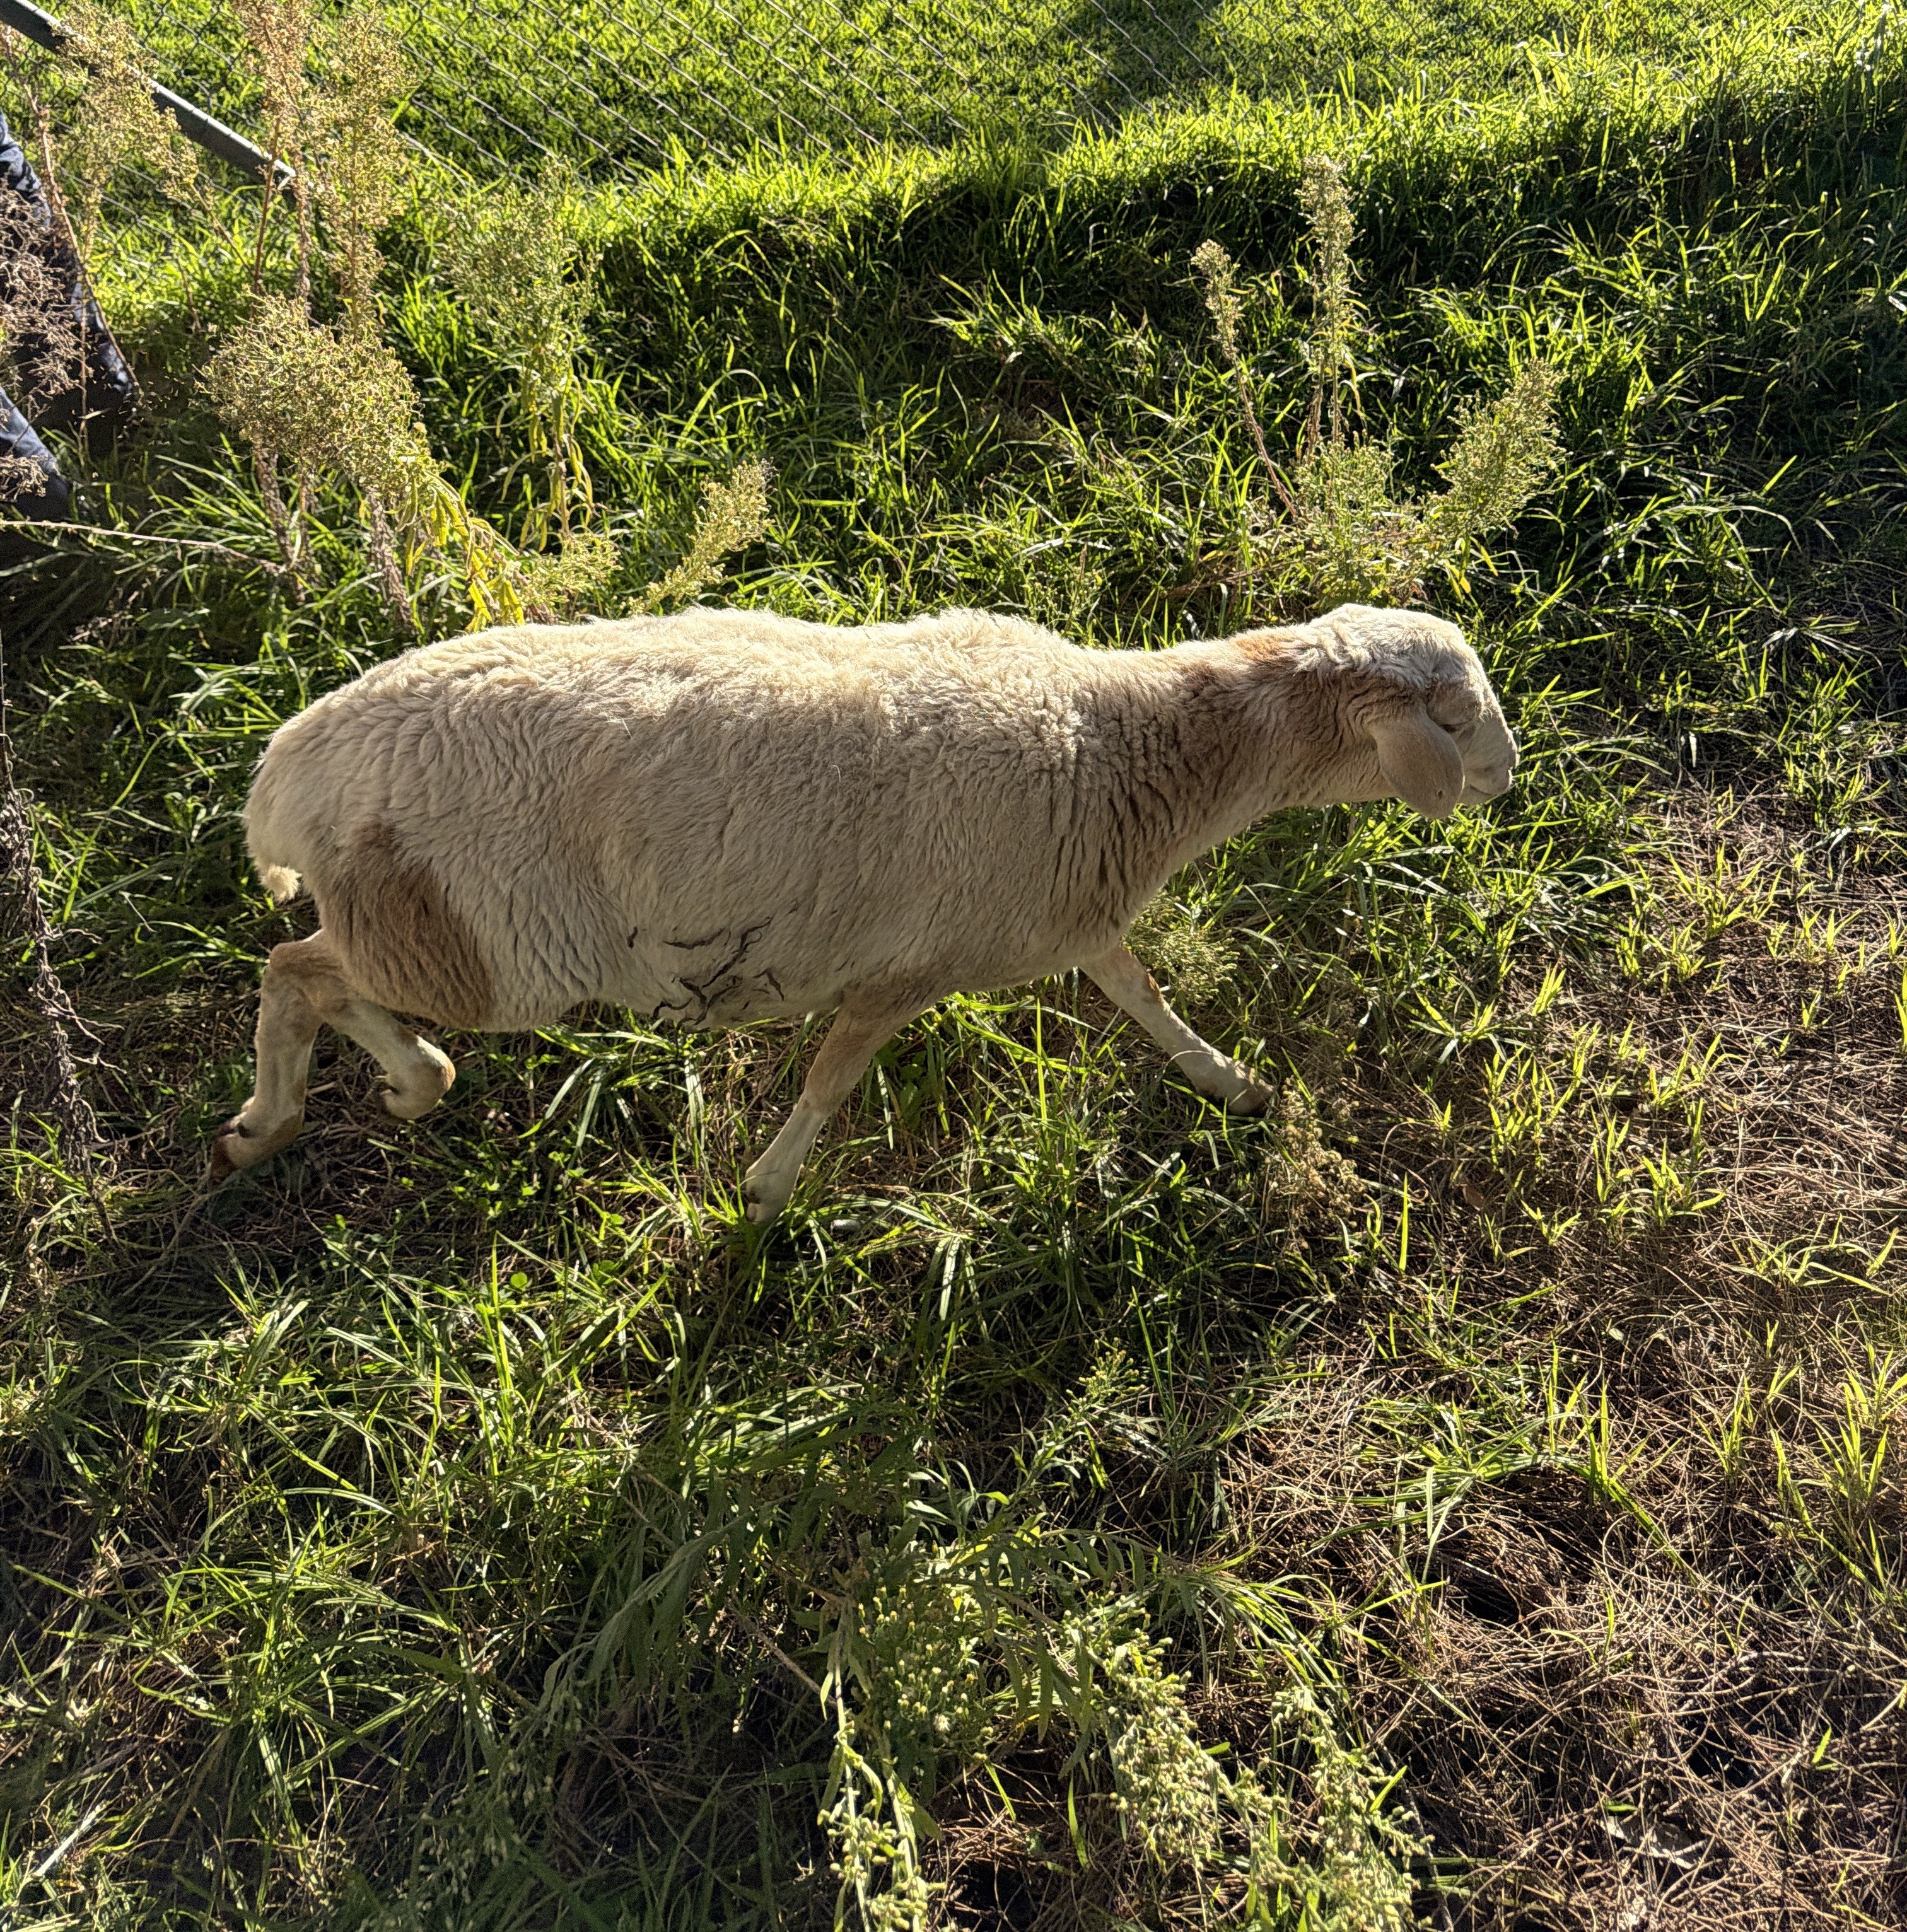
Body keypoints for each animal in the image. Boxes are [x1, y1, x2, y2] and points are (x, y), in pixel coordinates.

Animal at [215, 600, 1517, 1220]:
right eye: (1454, 716)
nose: (1507, 778)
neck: (1118, 743)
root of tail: (291, 772)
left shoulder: (1065, 911)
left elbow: (1139, 992)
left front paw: (1229, 1082)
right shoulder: (911, 964)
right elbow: (832, 1076)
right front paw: (764, 1191)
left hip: (418, 922)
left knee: (315, 969)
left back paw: (388, 1086)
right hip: (472, 937)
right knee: (296, 969)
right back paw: (290, 1114)